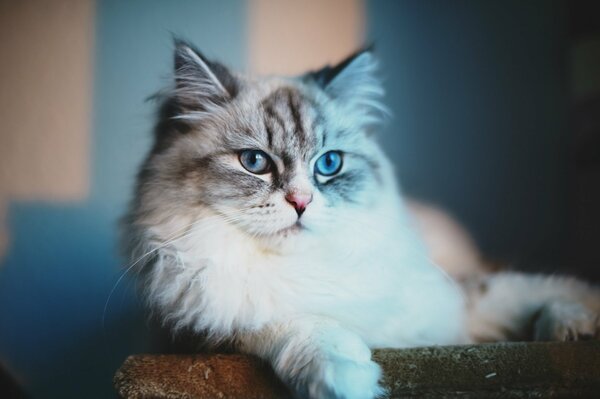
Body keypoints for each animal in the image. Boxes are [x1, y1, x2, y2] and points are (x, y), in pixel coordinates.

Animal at [123, 41, 600, 399]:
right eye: (254, 162)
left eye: (329, 164)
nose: (300, 201)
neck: (304, 268)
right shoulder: (207, 333)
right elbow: (303, 327)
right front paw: (346, 380)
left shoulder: (451, 307)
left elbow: (534, 290)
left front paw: (575, 321)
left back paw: (568, 328)